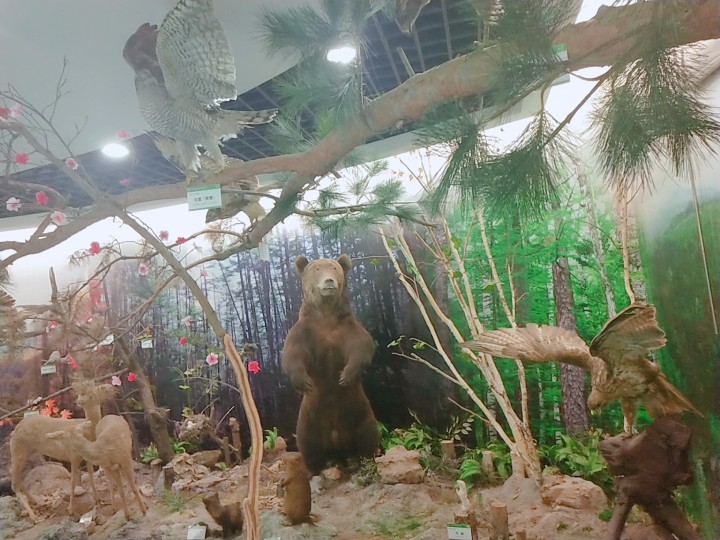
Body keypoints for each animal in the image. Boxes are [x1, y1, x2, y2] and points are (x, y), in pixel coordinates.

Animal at [282, 255, 380, 475]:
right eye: (317, 269)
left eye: (334, 268)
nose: (329, 281)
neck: (326, 317)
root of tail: (338, 445)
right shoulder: (305, 333)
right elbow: (292, 355)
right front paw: (304, 382)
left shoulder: (347, 329)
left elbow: (362, 346)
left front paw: (345, 376)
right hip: (309, 422)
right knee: (309, 446)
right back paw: (317, 469)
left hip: (360, 415)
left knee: (368, 437)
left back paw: (364, 462)